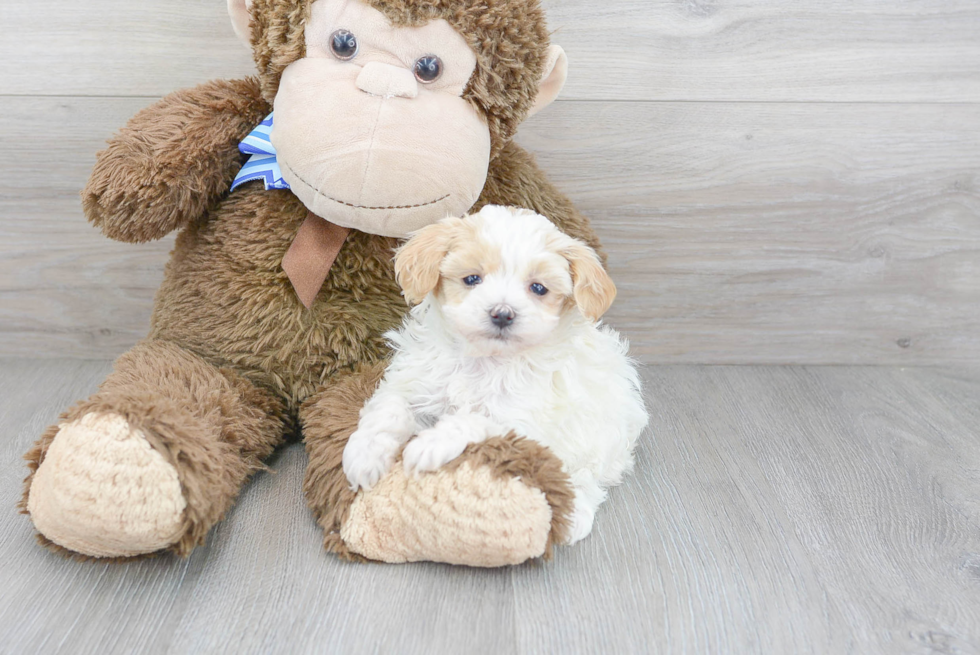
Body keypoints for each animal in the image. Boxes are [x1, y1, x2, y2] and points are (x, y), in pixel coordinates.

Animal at [344, 205, 652, 544]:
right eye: (472, 279)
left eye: (538, 288)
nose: (502, 313)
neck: (485, 360)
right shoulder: (412, 382)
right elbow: (389, 410)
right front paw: (364, 455)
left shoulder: (522, 419)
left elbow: (474, 419)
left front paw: (430, 445)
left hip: (600, 439)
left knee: (586, 477)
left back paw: (576, 515)